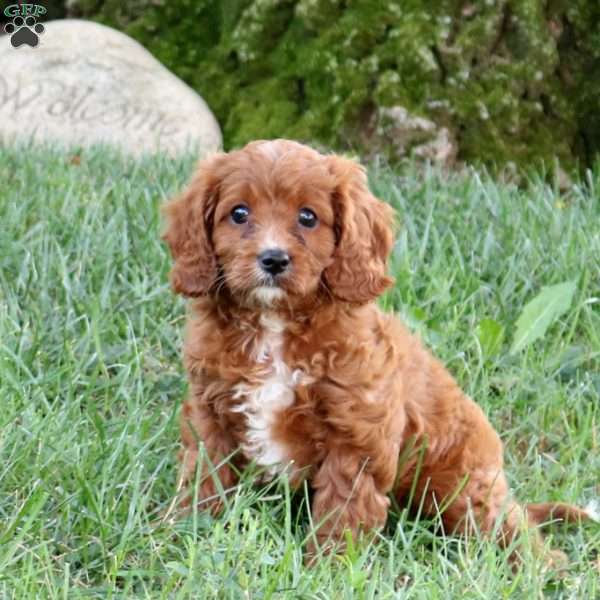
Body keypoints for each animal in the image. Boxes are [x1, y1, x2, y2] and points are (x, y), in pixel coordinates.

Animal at [163, 139, 592, 564]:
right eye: (238, 213)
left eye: (308, 217)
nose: (273, 259)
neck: (275, 323)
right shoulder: (210, 411)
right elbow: (206, 473)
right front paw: (189, 528)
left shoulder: (357, 430)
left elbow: (344, 501)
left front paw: (330, 563)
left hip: (464, 488)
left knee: (506, 526)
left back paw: (539, 565)